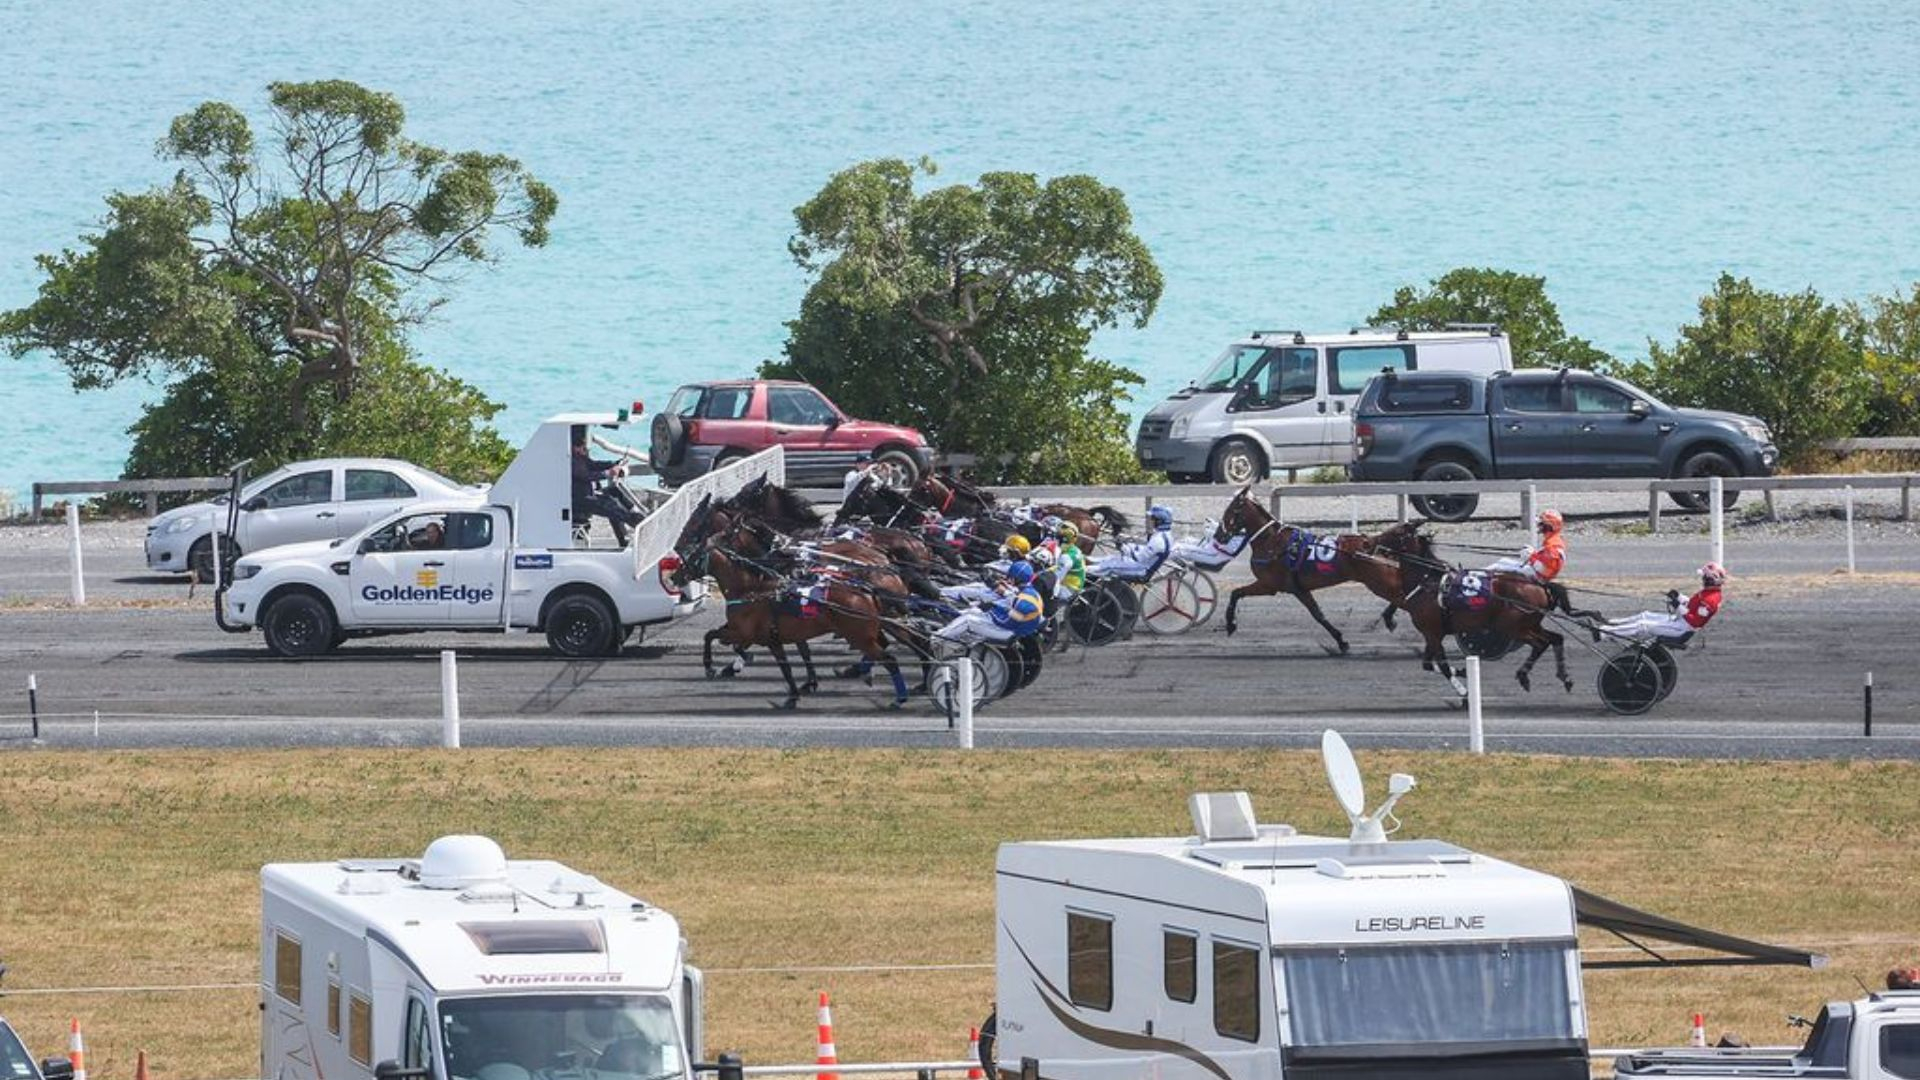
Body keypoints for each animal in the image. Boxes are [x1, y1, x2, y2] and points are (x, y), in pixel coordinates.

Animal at [1211, 486, 1409, 653]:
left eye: (1230, 510)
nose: (1218, 536)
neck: (1271, 542)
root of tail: (1374, 542)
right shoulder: (1289, 588)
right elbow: (1237, 593)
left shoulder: (1272, 585)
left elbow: (1317, 615)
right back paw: (1389, 618)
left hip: (1379, 582)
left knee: (1402, 596)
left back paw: (1390, 619)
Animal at [1347, 526, 1573, 697]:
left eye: (1396, 531)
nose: (1367, 542)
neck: (1428, 580)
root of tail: (1540, 585)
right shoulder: (1432, 633)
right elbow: (1428, 664)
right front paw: (1464, 672)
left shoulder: (1432, 633)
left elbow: (1443, 666)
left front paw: (1465, 693)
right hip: (1529, 624)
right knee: (1556, 638)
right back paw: (1564, 677)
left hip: (1513, 627)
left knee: (1541, 643)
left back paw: (1524, 675)